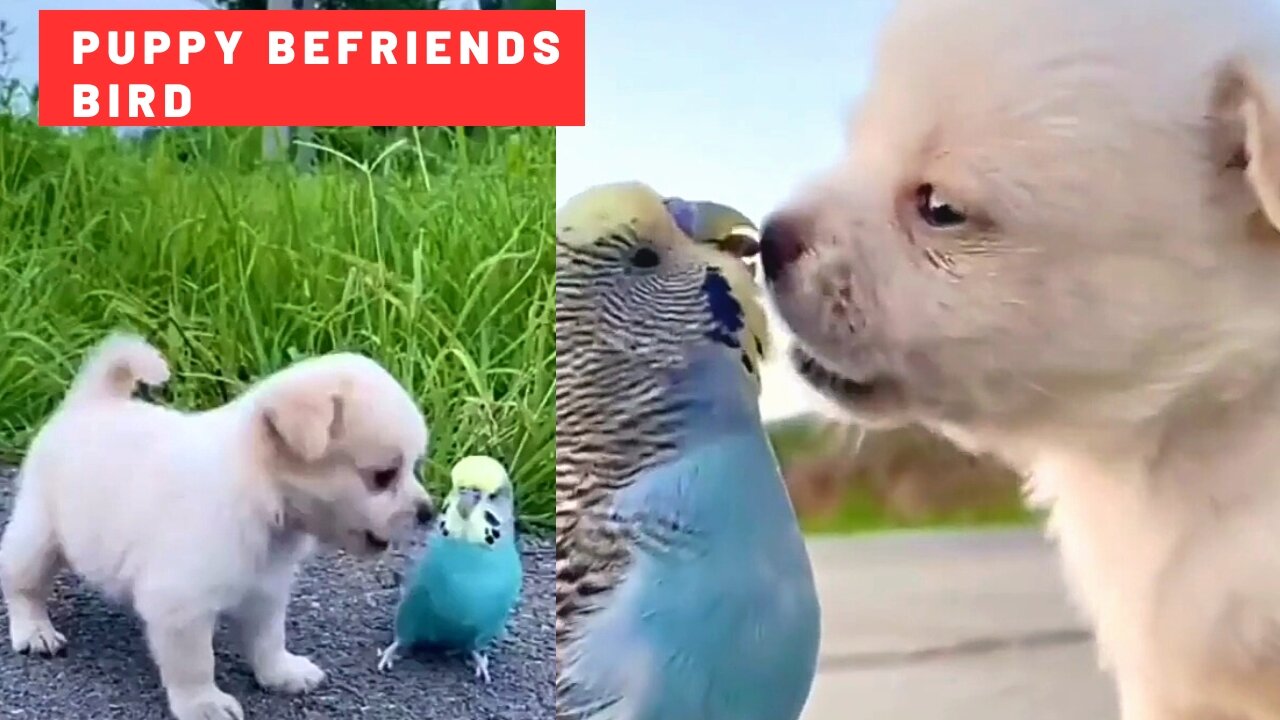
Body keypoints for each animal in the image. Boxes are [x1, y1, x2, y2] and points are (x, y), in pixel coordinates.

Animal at [0, 335, 435, 717]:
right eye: (383, 476)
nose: (428, 512)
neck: (262, 492)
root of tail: (92, 401)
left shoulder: (266, 590)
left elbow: (268, 639)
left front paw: (281, 673)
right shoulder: (181, 605)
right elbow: (195, 664)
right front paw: (203, 704)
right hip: (40, 533)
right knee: (21, 582)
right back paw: (35, 631)